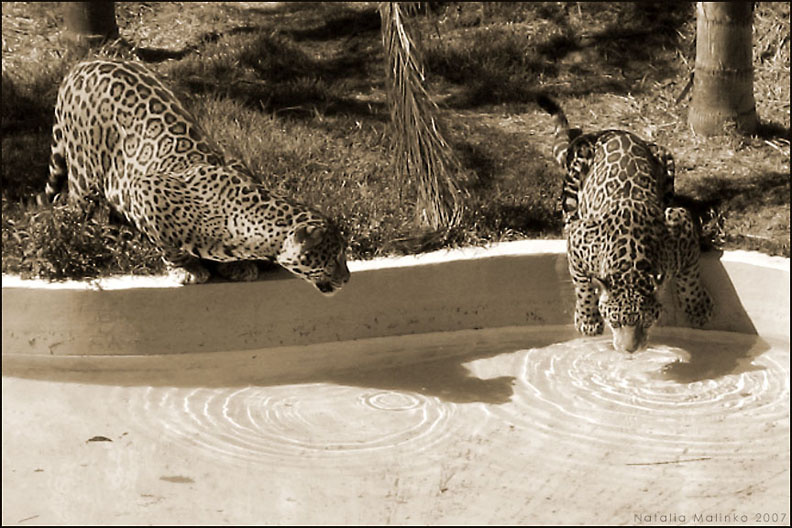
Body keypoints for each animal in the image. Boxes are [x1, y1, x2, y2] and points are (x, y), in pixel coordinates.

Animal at [43, 58, 349, 295]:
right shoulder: (144, 190)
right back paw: (98, 233)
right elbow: (169, 246)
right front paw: (186, 269)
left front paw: (236, 266)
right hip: (85, 171)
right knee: (77, 205)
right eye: (334, 257)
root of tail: (81, 64)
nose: (347, 279)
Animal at [538, 94, 713, 353]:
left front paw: (698, 309)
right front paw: (588, 320)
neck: (631, 261)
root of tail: (613, 131)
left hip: (665, 155)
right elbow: (582, 285)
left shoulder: (681, 225)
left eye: (646, 321)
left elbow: (691, 275)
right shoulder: (580, 239)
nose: (630, 350)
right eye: (615, 321)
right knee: (569, 214)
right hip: (578, 166)